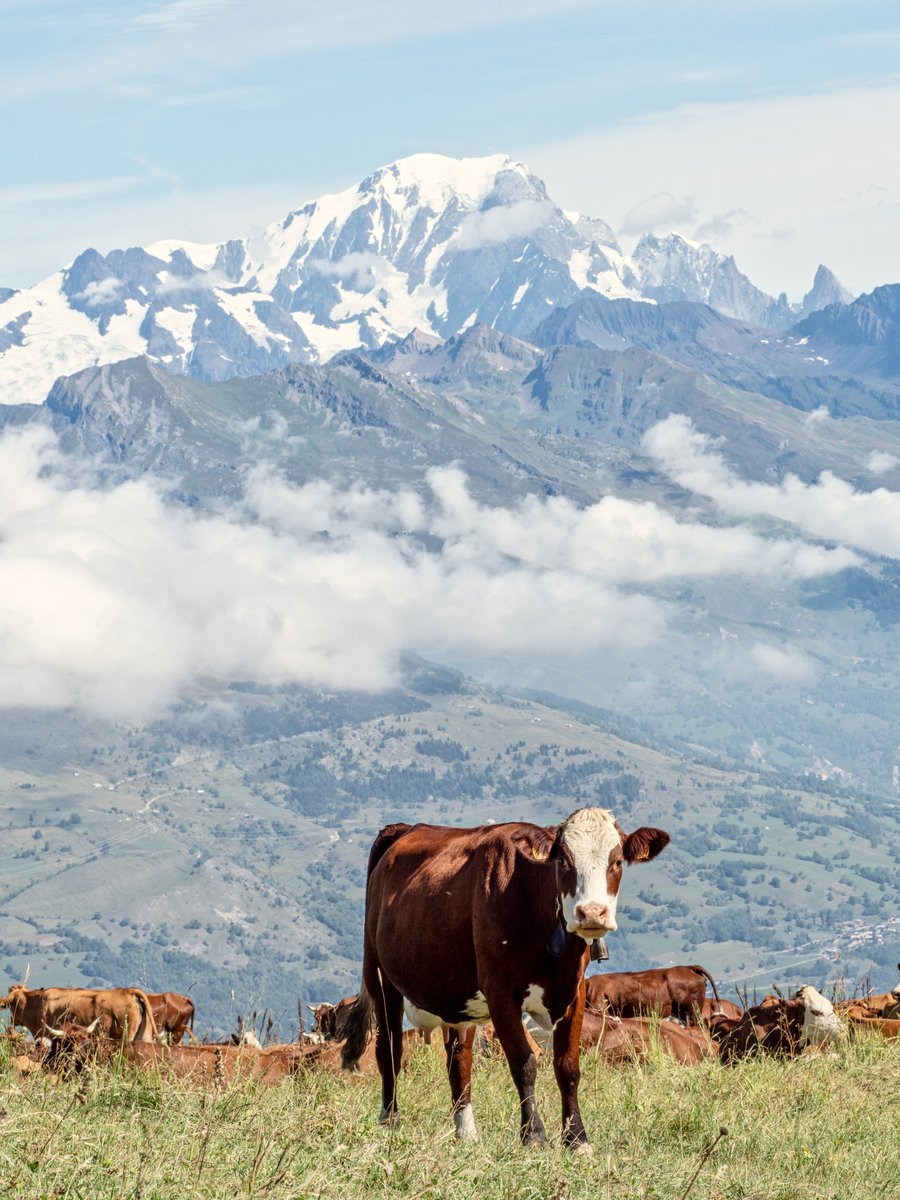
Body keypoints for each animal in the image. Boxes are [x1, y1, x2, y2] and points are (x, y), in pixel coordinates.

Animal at [339, 807, 669, 1150]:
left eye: (616, 862)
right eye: (563, 861)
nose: (591, 913)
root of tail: (405, 828)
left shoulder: (574, 992)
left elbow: (568, 1066)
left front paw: (576, 1139)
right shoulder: (500, 993)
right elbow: (524, 1063)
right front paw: (534, 1135)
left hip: (457, 994)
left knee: (459, 1058)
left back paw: (466, 1132)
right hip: (380, 976)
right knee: (389, 1049)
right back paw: (390, 1121)